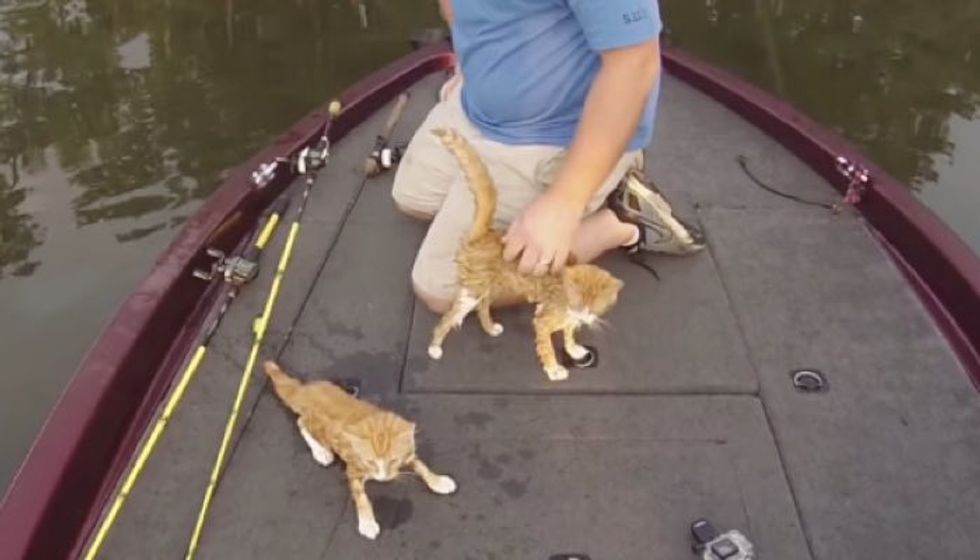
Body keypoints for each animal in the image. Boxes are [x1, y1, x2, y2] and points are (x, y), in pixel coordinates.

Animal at [262, 360, 458, 540]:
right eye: (370, 461)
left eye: (393, 460)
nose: (382, 479)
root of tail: (305, 390)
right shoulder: (354, 469)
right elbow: (361, 496)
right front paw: (367, 523)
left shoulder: (407, 454)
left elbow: (421, 466)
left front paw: (438, 481)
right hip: (316, 426)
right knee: (301, 422)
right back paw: (321, 452)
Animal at [426, 127, 624, 380]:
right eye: (578, 301)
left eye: (596, 306)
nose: (583, 315)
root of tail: (486, 234)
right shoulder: (544, 321)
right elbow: (547, 346)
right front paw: (554, 369)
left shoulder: (567, 317)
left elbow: (569, 333)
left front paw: (573, 349)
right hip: (473, 290)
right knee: (451, 316)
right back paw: (435, 346)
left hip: (492, 286)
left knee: (483, 305)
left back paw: (490, 327)